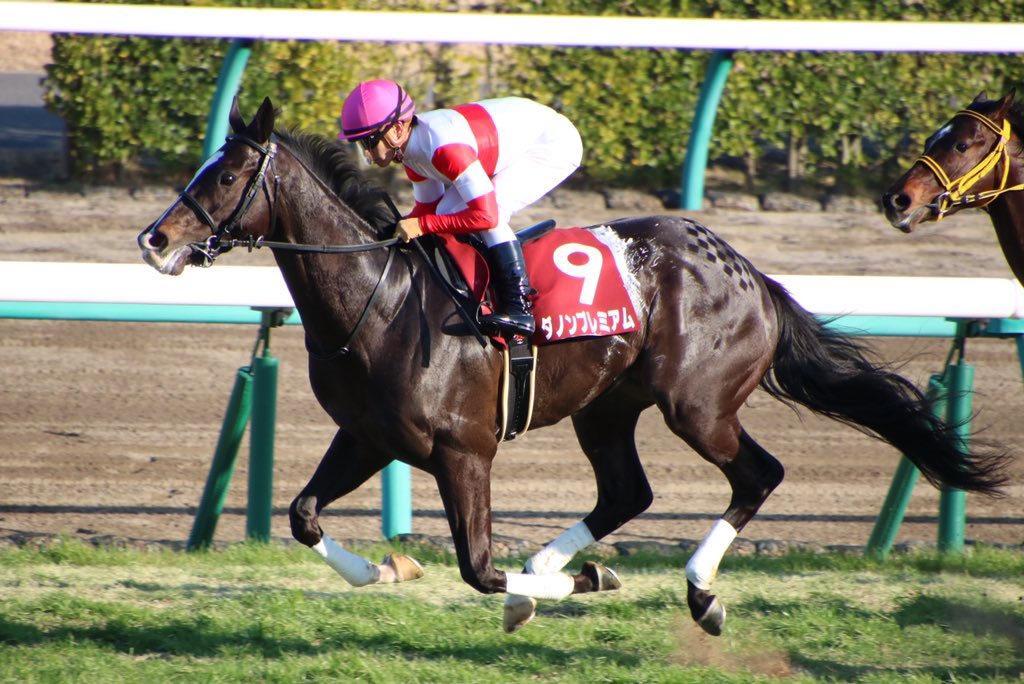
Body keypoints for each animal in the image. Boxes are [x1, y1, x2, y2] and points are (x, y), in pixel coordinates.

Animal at [138, 97, 1008, 636]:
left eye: (224, 175)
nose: (153, 239)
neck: (376, 298)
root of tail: (749, 271)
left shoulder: (464, 450)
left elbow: (479, 569)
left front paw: (571, 585)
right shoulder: (369, 437)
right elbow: (303, 516)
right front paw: (391, 571)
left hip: (698, 406)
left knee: (756, 475)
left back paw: (698, 594)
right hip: (606, 406)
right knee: (628, 491)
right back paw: (561, 568)